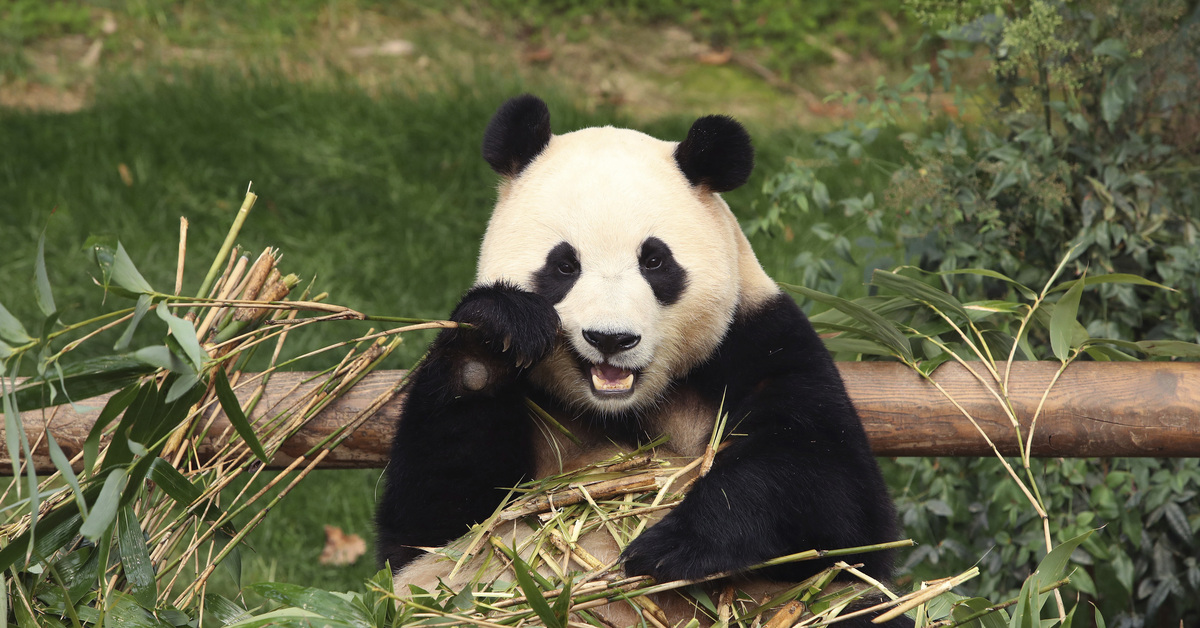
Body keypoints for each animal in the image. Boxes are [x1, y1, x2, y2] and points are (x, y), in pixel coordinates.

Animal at [375, 95, 907, 625]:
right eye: (564, 265)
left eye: (654, 261)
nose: (610, 338)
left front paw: (672, 546)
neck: (621, 409)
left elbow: (835, 495)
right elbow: (432, 523)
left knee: (858, 604)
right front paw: (494, 336)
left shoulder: (760, 342)